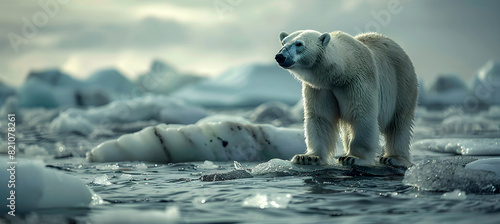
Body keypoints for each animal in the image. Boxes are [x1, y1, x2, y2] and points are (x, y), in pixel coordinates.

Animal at [278, 29, 418, 167]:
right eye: (283, 42)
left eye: (299, 44)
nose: (280, 56)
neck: (341, 71)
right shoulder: (320, 88)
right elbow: (320, 117)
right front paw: (307, 157)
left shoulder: (358, 81)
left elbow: (361, 115)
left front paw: (353, 158)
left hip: (402, 83)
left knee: (399, 122)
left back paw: (393, 158)